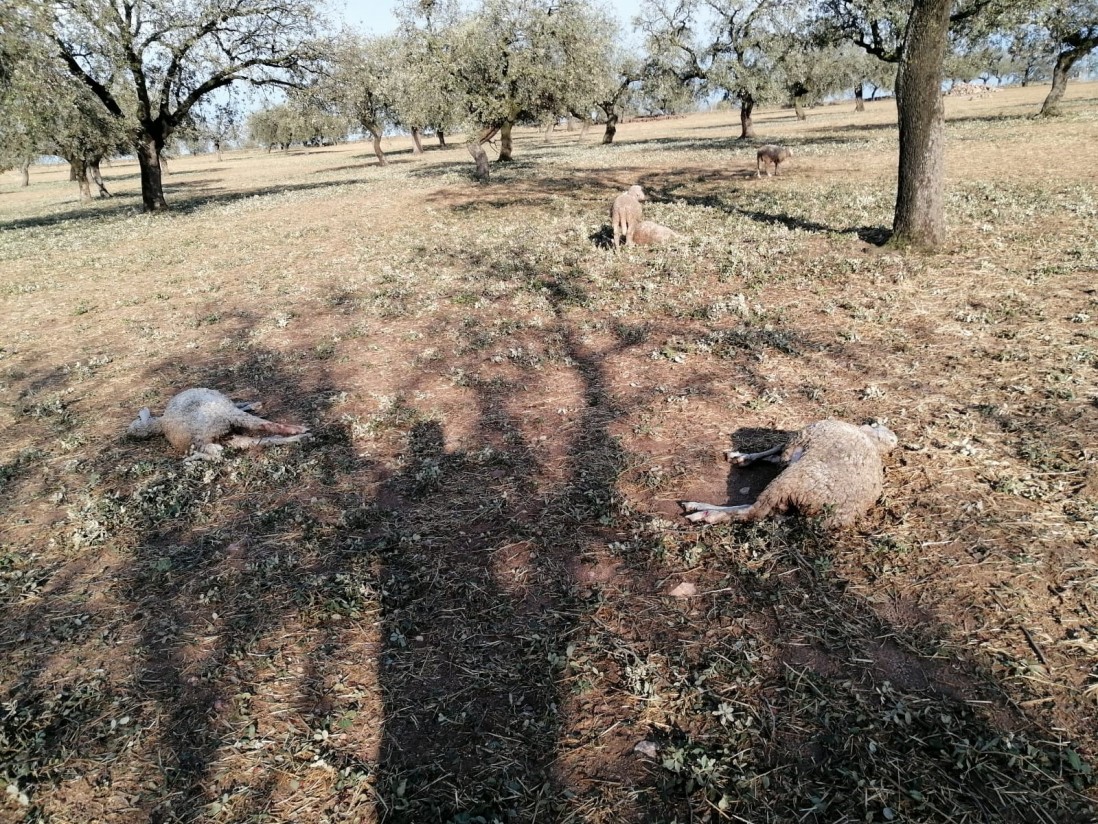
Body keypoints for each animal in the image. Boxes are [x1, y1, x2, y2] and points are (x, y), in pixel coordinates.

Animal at [680, 419, 895, 529]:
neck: (871, 439)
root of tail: (839, 516)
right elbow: (773, 453)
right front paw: (742, 457)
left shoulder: (798, 440)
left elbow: (777, 448)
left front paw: (742, 456)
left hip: (792, 480)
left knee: (754, 511)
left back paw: (703, 511)